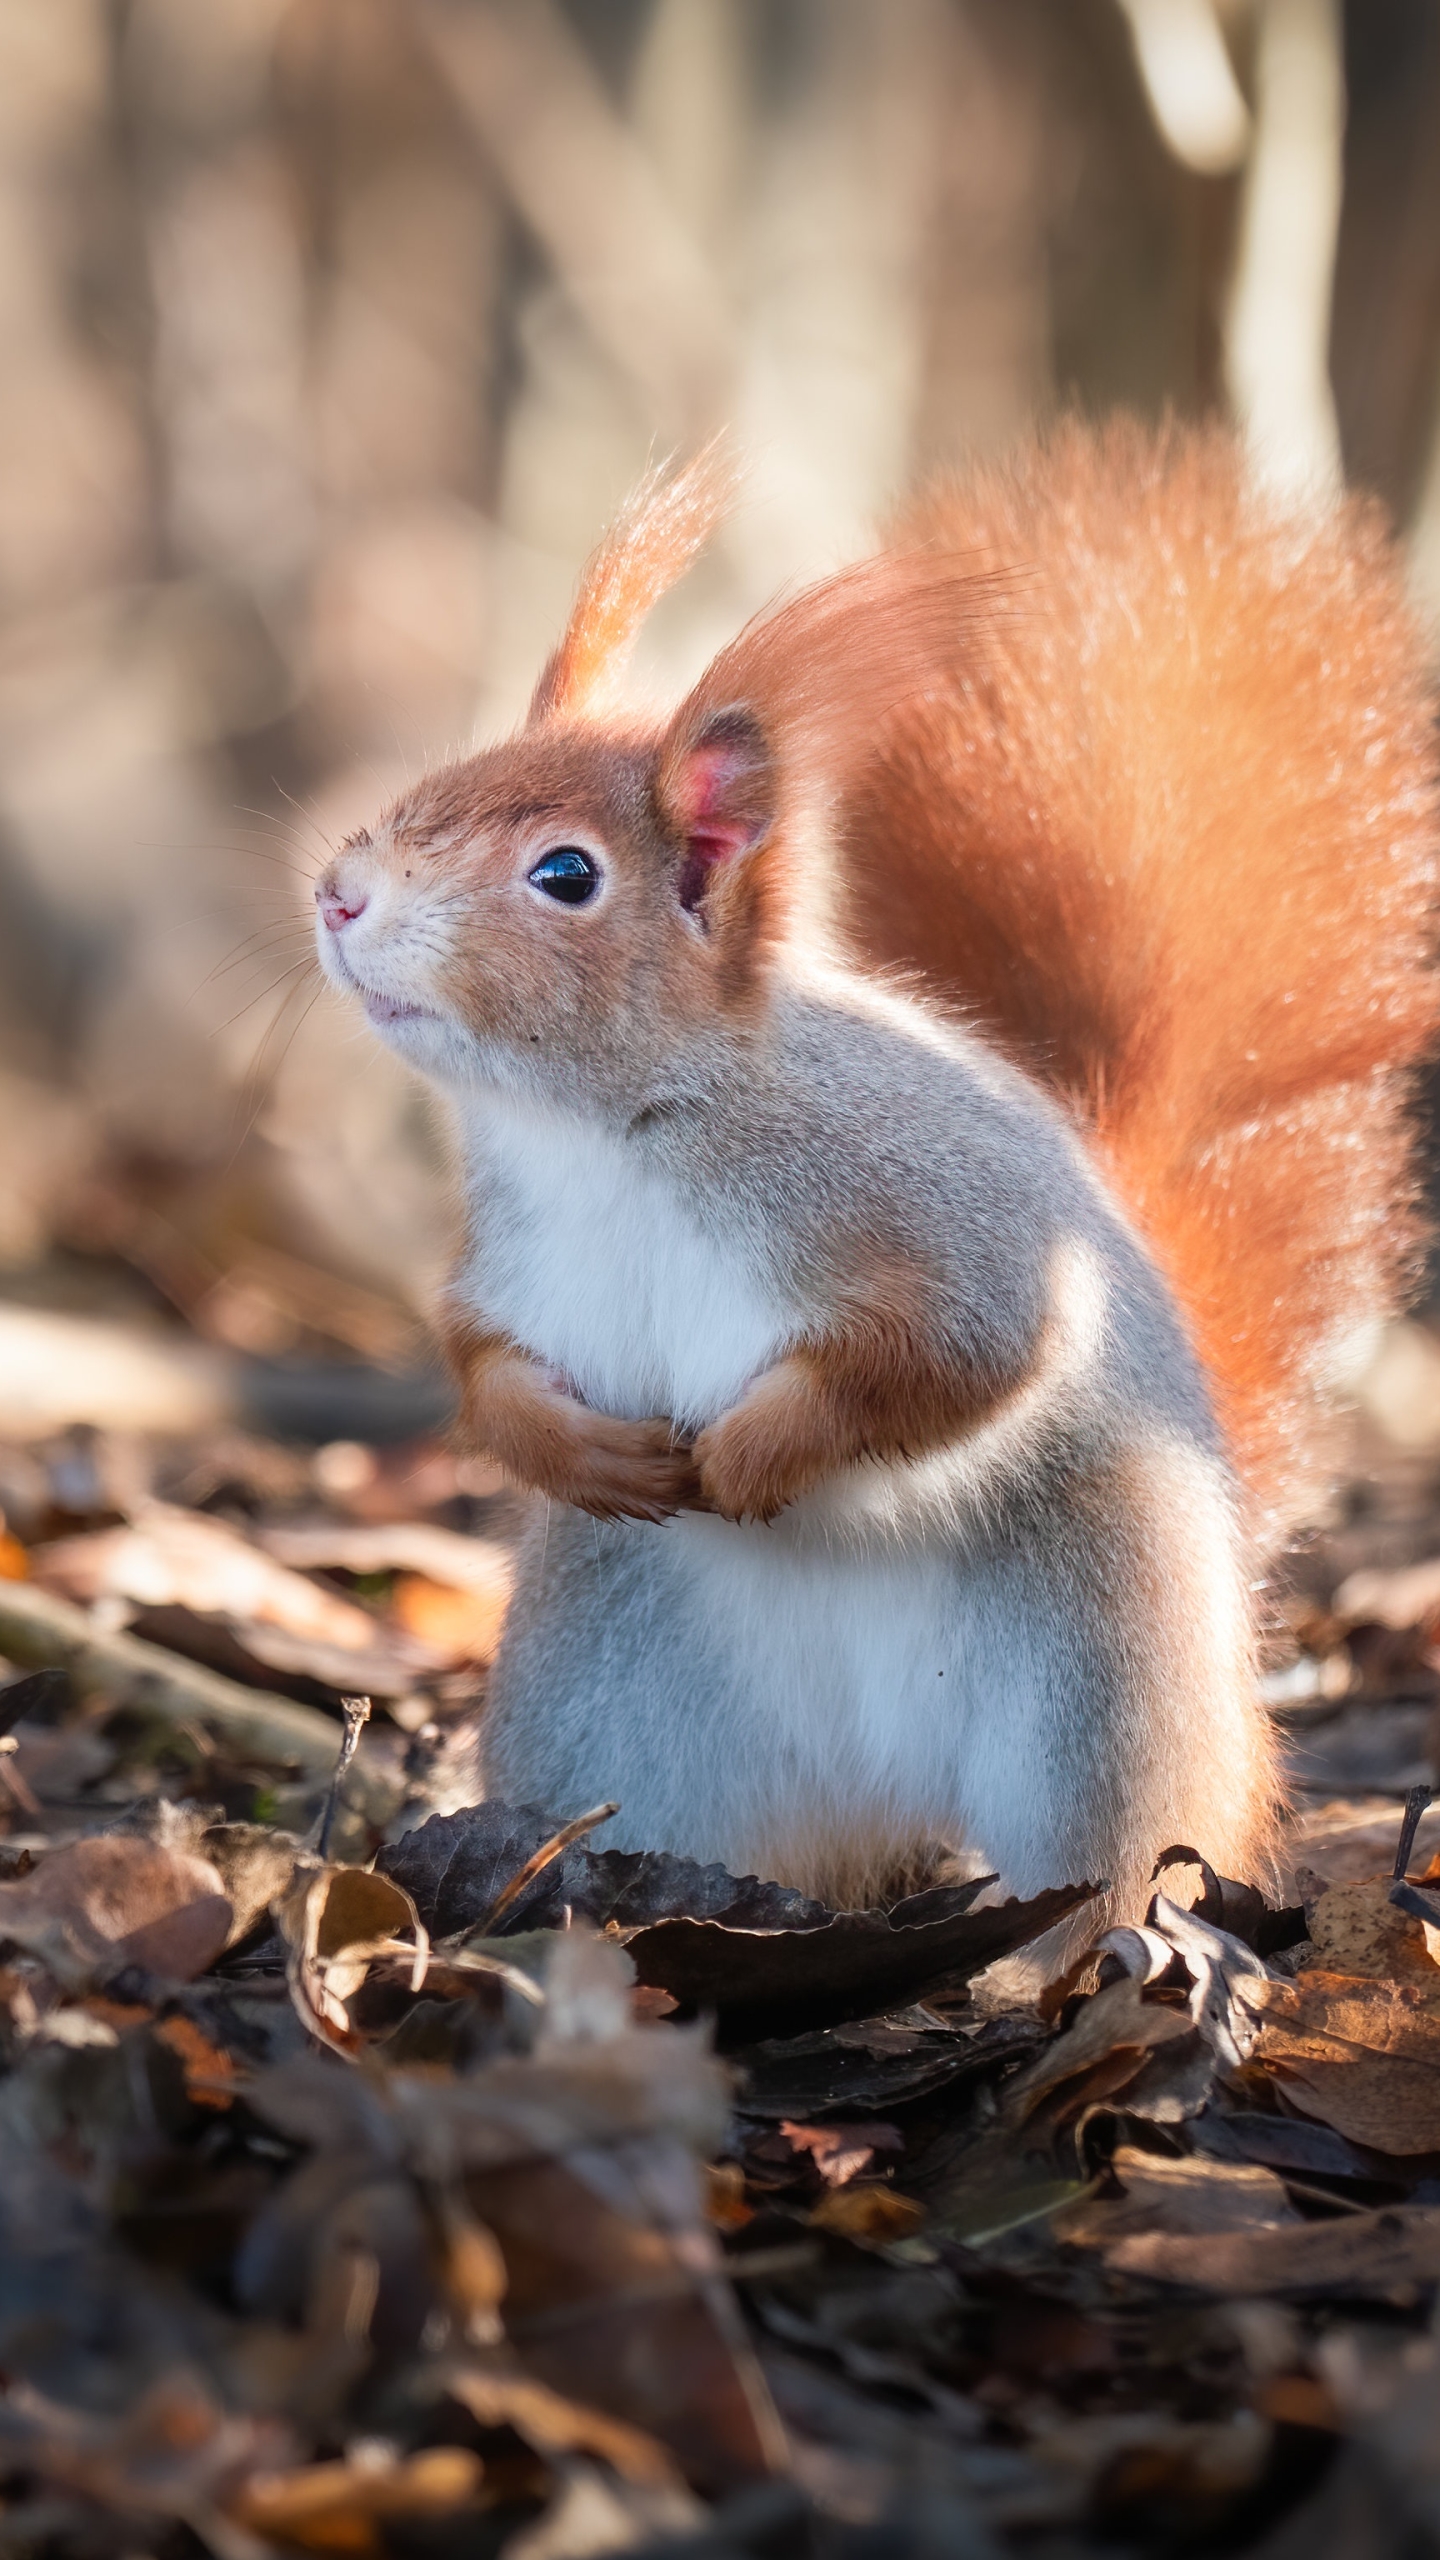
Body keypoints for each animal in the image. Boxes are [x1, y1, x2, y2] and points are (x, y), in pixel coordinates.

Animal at [313, 424, 1434, 1925]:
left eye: (565, 875)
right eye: (442, 780)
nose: (339, 894)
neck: (607, 1135)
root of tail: (891, 1788)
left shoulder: (923, 1208)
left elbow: (959, 1353)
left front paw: (751, 1451)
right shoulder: (510, 1263)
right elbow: (481, 1366)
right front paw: (579, 1449)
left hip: (1100, 1681)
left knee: (1116, 1863)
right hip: (613, 1708)